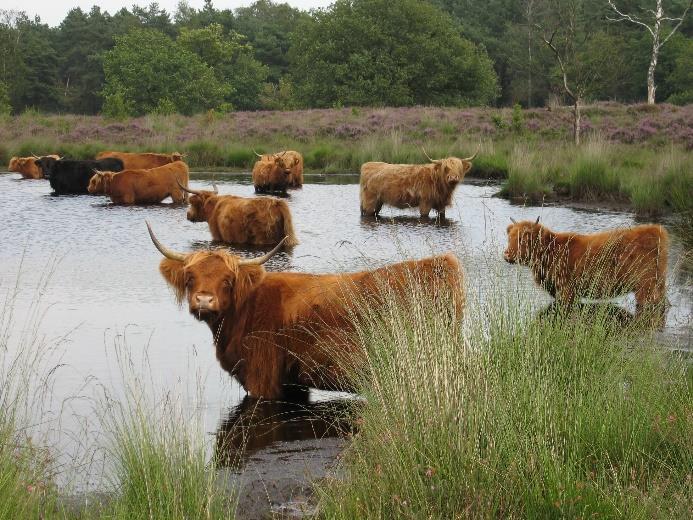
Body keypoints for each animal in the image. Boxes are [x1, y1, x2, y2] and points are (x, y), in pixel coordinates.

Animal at [149, 223, 464, 398]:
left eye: (228, 280)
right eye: (190, 278)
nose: (204, 300)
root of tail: (441, 263)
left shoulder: (262, 379)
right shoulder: (293, 385)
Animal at [500, 216, 668, 320]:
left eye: (522, 239)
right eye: (509, 238)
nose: (507, 254)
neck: (551, 252)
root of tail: (655, 230)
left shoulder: (567, 292)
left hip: (646, 285)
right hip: (657, 283)